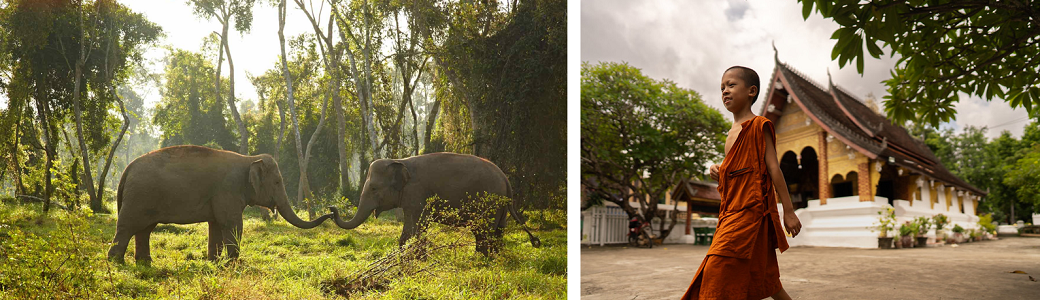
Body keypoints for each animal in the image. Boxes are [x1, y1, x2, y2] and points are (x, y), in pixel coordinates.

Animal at [108, 144, 332, 262]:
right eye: (277, 182)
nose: (332, 211)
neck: (249, 159)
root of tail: (127, 169)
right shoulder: (228, 190)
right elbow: (232, 224)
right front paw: (233, 263)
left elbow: (216, 225)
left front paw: (213, 262)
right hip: (139, 197)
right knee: (127, 227)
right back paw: (116, 262)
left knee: (144, 229)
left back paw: (144, 263)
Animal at [328, 152, 540, 255]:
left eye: (373, 188)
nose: (332, 208)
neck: (400, 161)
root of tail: (505, 179)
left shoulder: (416, 193)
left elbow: (414, 227)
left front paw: (412, 259)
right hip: (500, 207)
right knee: (497, 231)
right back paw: (493, 259)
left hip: (489, 203)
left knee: (483, 231)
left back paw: (480, 260)